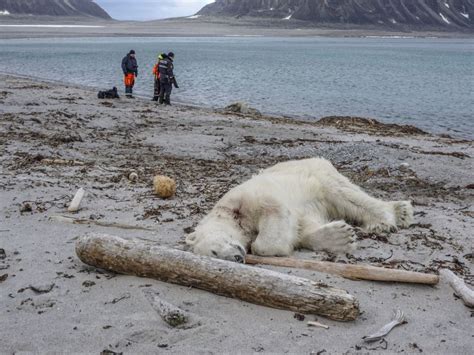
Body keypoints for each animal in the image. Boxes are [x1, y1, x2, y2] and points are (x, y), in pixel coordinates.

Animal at [183, 158, 412, 262]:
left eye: (214, 251)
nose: (238, 257)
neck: (231, 214)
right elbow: (303, 227)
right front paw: (341, 236)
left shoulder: (248, 198)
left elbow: (273, 215)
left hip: (318, 174)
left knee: (346, 194)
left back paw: (390, 217)